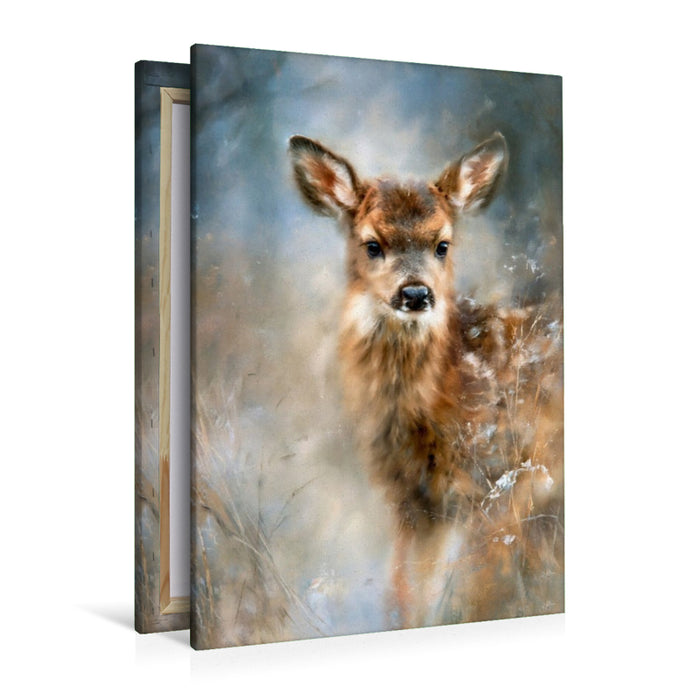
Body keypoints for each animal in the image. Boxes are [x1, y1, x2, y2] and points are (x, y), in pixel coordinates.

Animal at [289, 133, 562, 627]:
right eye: (372, 244)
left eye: (442, 245)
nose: (416, 293)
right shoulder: (415, 501)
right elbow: (405, 590)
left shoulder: (497, 483)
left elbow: (477, 592)